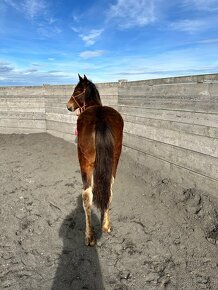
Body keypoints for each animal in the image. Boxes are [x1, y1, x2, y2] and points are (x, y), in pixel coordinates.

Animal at [66, 75, 123, 247]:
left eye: (77, 90)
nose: (68, 106)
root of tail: (100, 120)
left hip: (85, 162)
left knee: (87, 195)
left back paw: (89, 236)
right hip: (115, 160)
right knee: (109, 189)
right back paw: (106, 225)